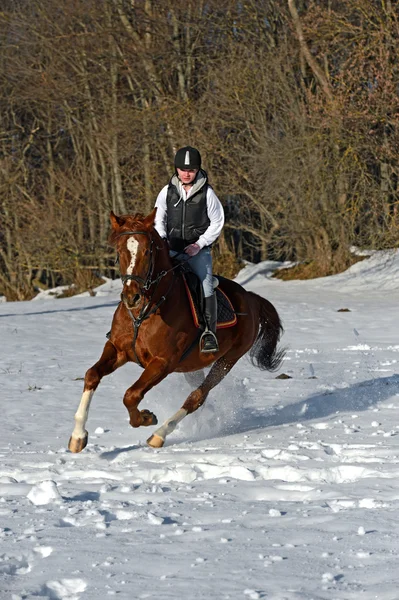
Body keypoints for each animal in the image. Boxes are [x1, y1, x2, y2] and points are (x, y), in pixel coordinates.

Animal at [69, 207, 284, 450]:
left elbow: (131, 395)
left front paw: (146, 418)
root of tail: (251, 298)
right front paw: (78, 437)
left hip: (228, 359)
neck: (143, 314)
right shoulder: (117, 349)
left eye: (147, 251)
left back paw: (159, 434)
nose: (132, 297)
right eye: (120, 250)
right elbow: (92, 375)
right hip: (192, 365)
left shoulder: (163, 363)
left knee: (197, 397)